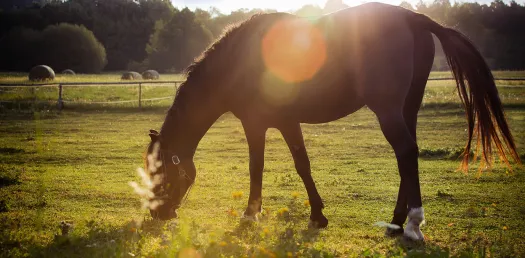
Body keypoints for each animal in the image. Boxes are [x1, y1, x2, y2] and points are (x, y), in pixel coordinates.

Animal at [143, 3, 520, 242]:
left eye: (160, 172)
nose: (159, 215)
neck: (239, 59)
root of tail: (413, 18)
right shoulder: (286, 122)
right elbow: (303, 164)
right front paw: (317, 215)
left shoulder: (257, 124)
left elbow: (259, 167)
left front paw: (252, 214)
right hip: (407, 109)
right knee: (407, 156)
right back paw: (396, 222)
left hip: (388, 110)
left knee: (405, 152)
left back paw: (413, 224)